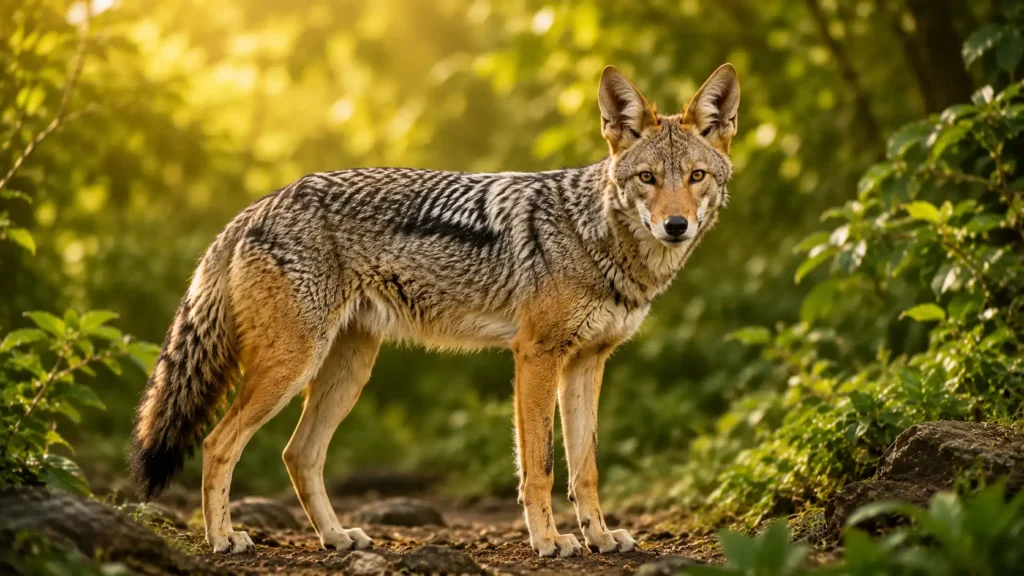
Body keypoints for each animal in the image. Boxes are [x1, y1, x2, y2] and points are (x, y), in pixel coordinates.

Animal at [130, 64, 740, 558]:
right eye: (647, 178)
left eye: (696, 177)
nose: (676, 225)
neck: (597, 237)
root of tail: (256, 207)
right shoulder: (535, 357)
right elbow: (540, 468)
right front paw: (549, 541)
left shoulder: (587, 364)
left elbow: (584, 468)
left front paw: (602, 538)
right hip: (291, 367)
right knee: (218, 444)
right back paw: (223, 539)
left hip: (348, 373)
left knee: (297, 454)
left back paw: (336, 538)